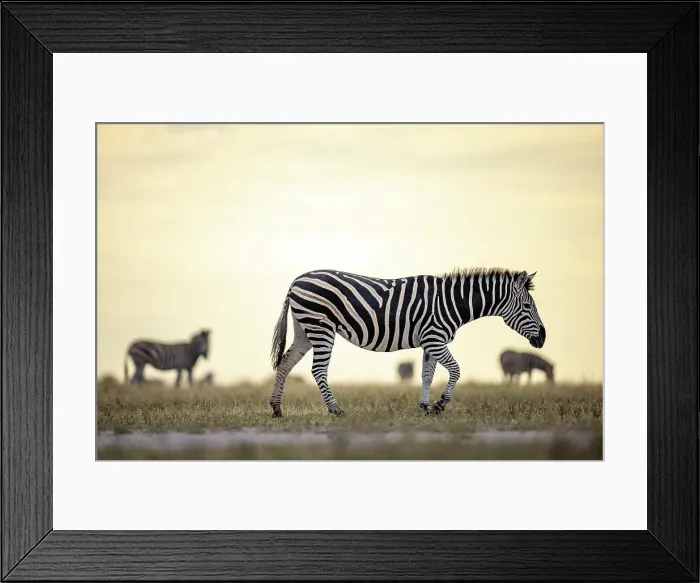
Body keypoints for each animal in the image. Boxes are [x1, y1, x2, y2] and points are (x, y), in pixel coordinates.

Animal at [269, 267, 546, 417]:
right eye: (527, 307)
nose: (543, 338)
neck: (452, 303)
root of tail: (296, 281)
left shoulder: (430, 343)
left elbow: (427, 375)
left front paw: (425, 406)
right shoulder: (435, 339)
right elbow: (456, 370)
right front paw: (440, 404)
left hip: (304, 329)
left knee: (285, 364)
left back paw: (276, 409)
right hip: (320, 326)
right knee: (318, 370)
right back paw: (336, 410)